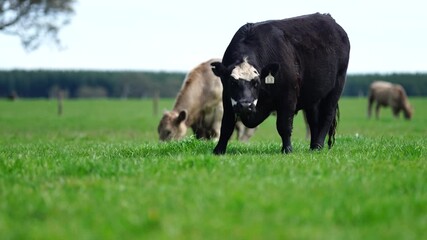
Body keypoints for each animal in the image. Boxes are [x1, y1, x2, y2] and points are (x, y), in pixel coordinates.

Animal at [211, 13, 352, 155]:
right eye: (232, 82)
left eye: (256, 82)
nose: (246, 105)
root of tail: (329, 19)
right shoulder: (227, 97)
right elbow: (226, 125)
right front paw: (219, 150)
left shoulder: (288, 96)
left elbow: (284, 125)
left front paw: (287, 149)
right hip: (313, 96)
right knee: (314, 120)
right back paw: (313, 147)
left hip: (336, 87)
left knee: (326, 116)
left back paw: (318, 146)